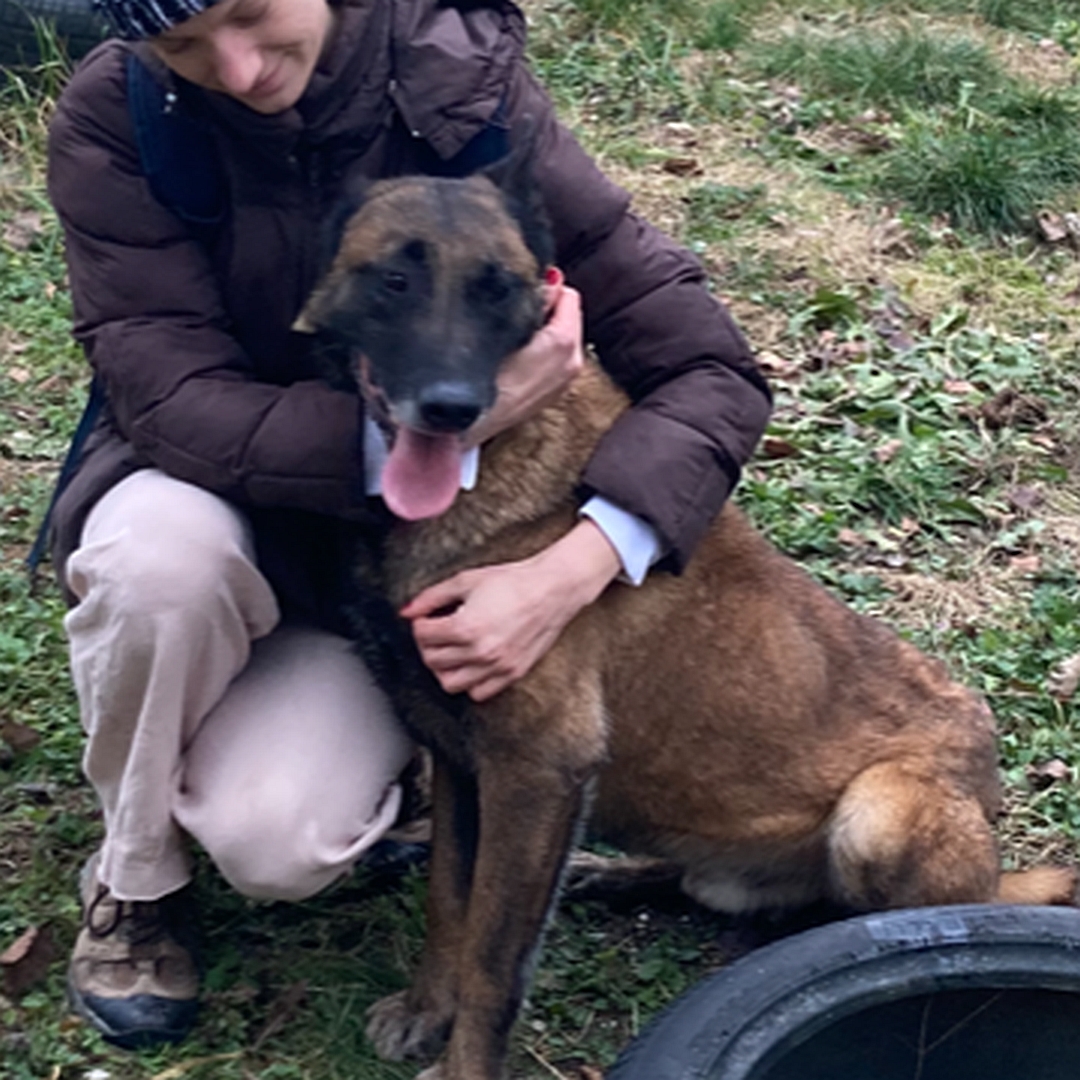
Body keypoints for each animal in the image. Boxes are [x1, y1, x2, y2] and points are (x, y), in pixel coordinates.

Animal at [298, 168, 1080, 1080]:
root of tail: (994, 841)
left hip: (878, 814)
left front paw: (463, 1065)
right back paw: (603, 872)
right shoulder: (462, 763)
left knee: (862, 920)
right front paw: (428, 1009)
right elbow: (450, 905)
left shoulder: (535, 769)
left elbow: (494, 961)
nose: (450, 408)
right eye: (393, 279)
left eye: (500, 290)